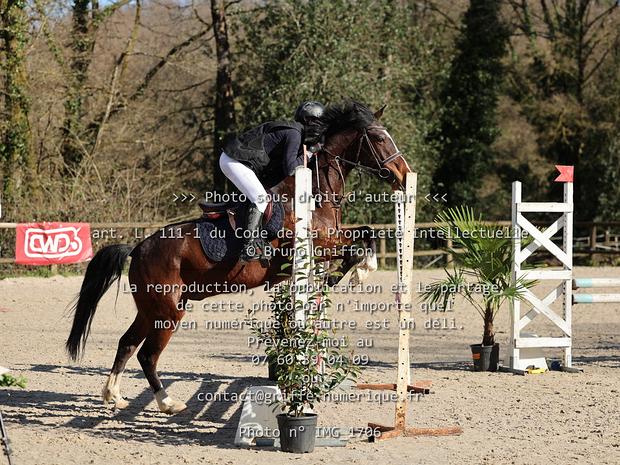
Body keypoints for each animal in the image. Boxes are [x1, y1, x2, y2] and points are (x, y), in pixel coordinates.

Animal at [66, 100, 412, 414]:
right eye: (379, 138)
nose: (404, 174)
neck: (312, 191)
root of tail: (136, 249)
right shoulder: (312, 244)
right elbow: (358, 245)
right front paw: (357, 272)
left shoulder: (329, 240)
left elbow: (366, 234)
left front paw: (343, 276)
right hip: (168, 310)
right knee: (147, 354)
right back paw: (168, 403)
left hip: (152, 308)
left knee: (127, 343)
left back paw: (114, 395)